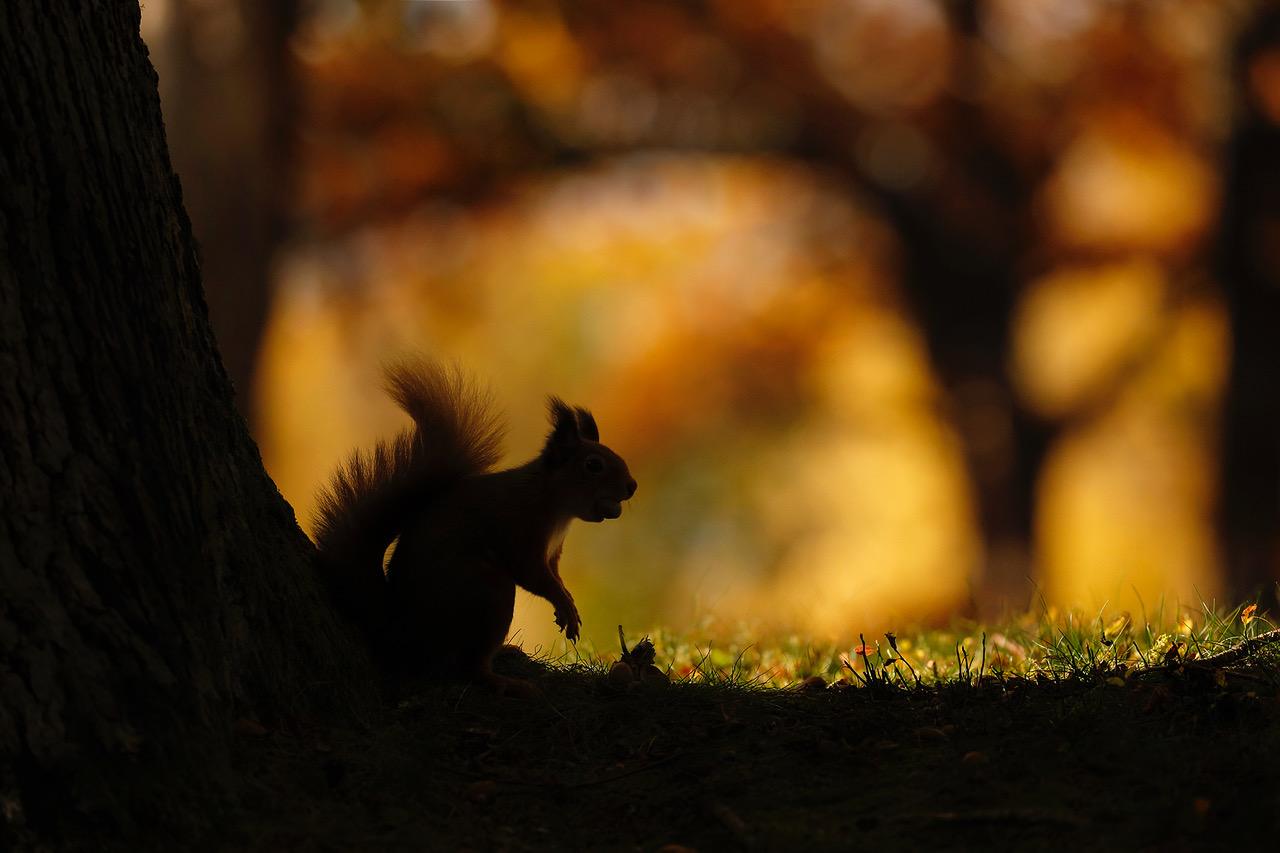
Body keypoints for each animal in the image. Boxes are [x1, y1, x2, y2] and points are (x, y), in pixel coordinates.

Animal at [314, 356, 634, 696]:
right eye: (593, 465)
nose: (632, 486)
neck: (555, 505)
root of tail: (401, 632)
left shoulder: (553, 551)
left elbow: (555, 575)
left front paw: (567, 606)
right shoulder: (519, 530)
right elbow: (533, 575)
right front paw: (563, 604)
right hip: (488, 594)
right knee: (469, 668)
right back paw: (504, 681)